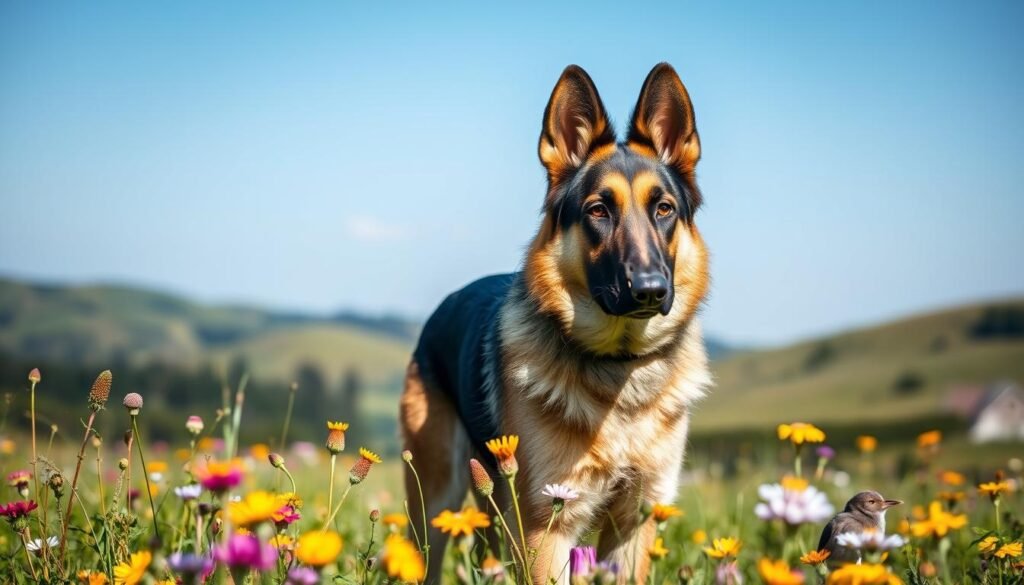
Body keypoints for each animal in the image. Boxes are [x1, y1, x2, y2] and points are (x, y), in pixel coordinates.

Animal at [401, 61, 712, 581]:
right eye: (598, 210)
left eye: (664, 209)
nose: (650, 289)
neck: (619, 369)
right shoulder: (545, 527)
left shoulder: (634, 523)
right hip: (436, 501)